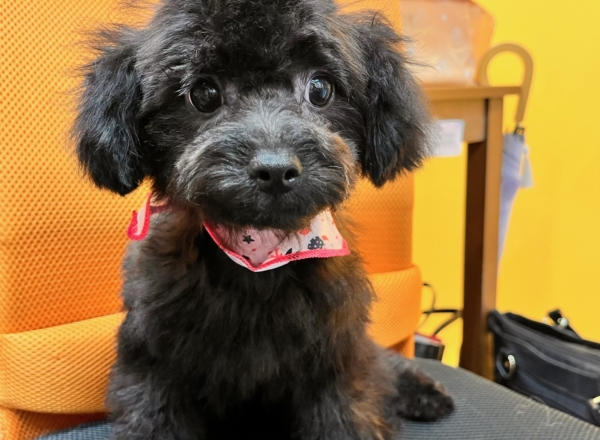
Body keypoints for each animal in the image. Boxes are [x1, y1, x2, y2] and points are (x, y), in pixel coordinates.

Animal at [74, 0, 454, 439]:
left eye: (320, 89)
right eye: (204, 94)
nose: (275, 169)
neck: (259, 256)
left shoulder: (336, 358)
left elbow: (347, 410)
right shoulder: (153, 362)